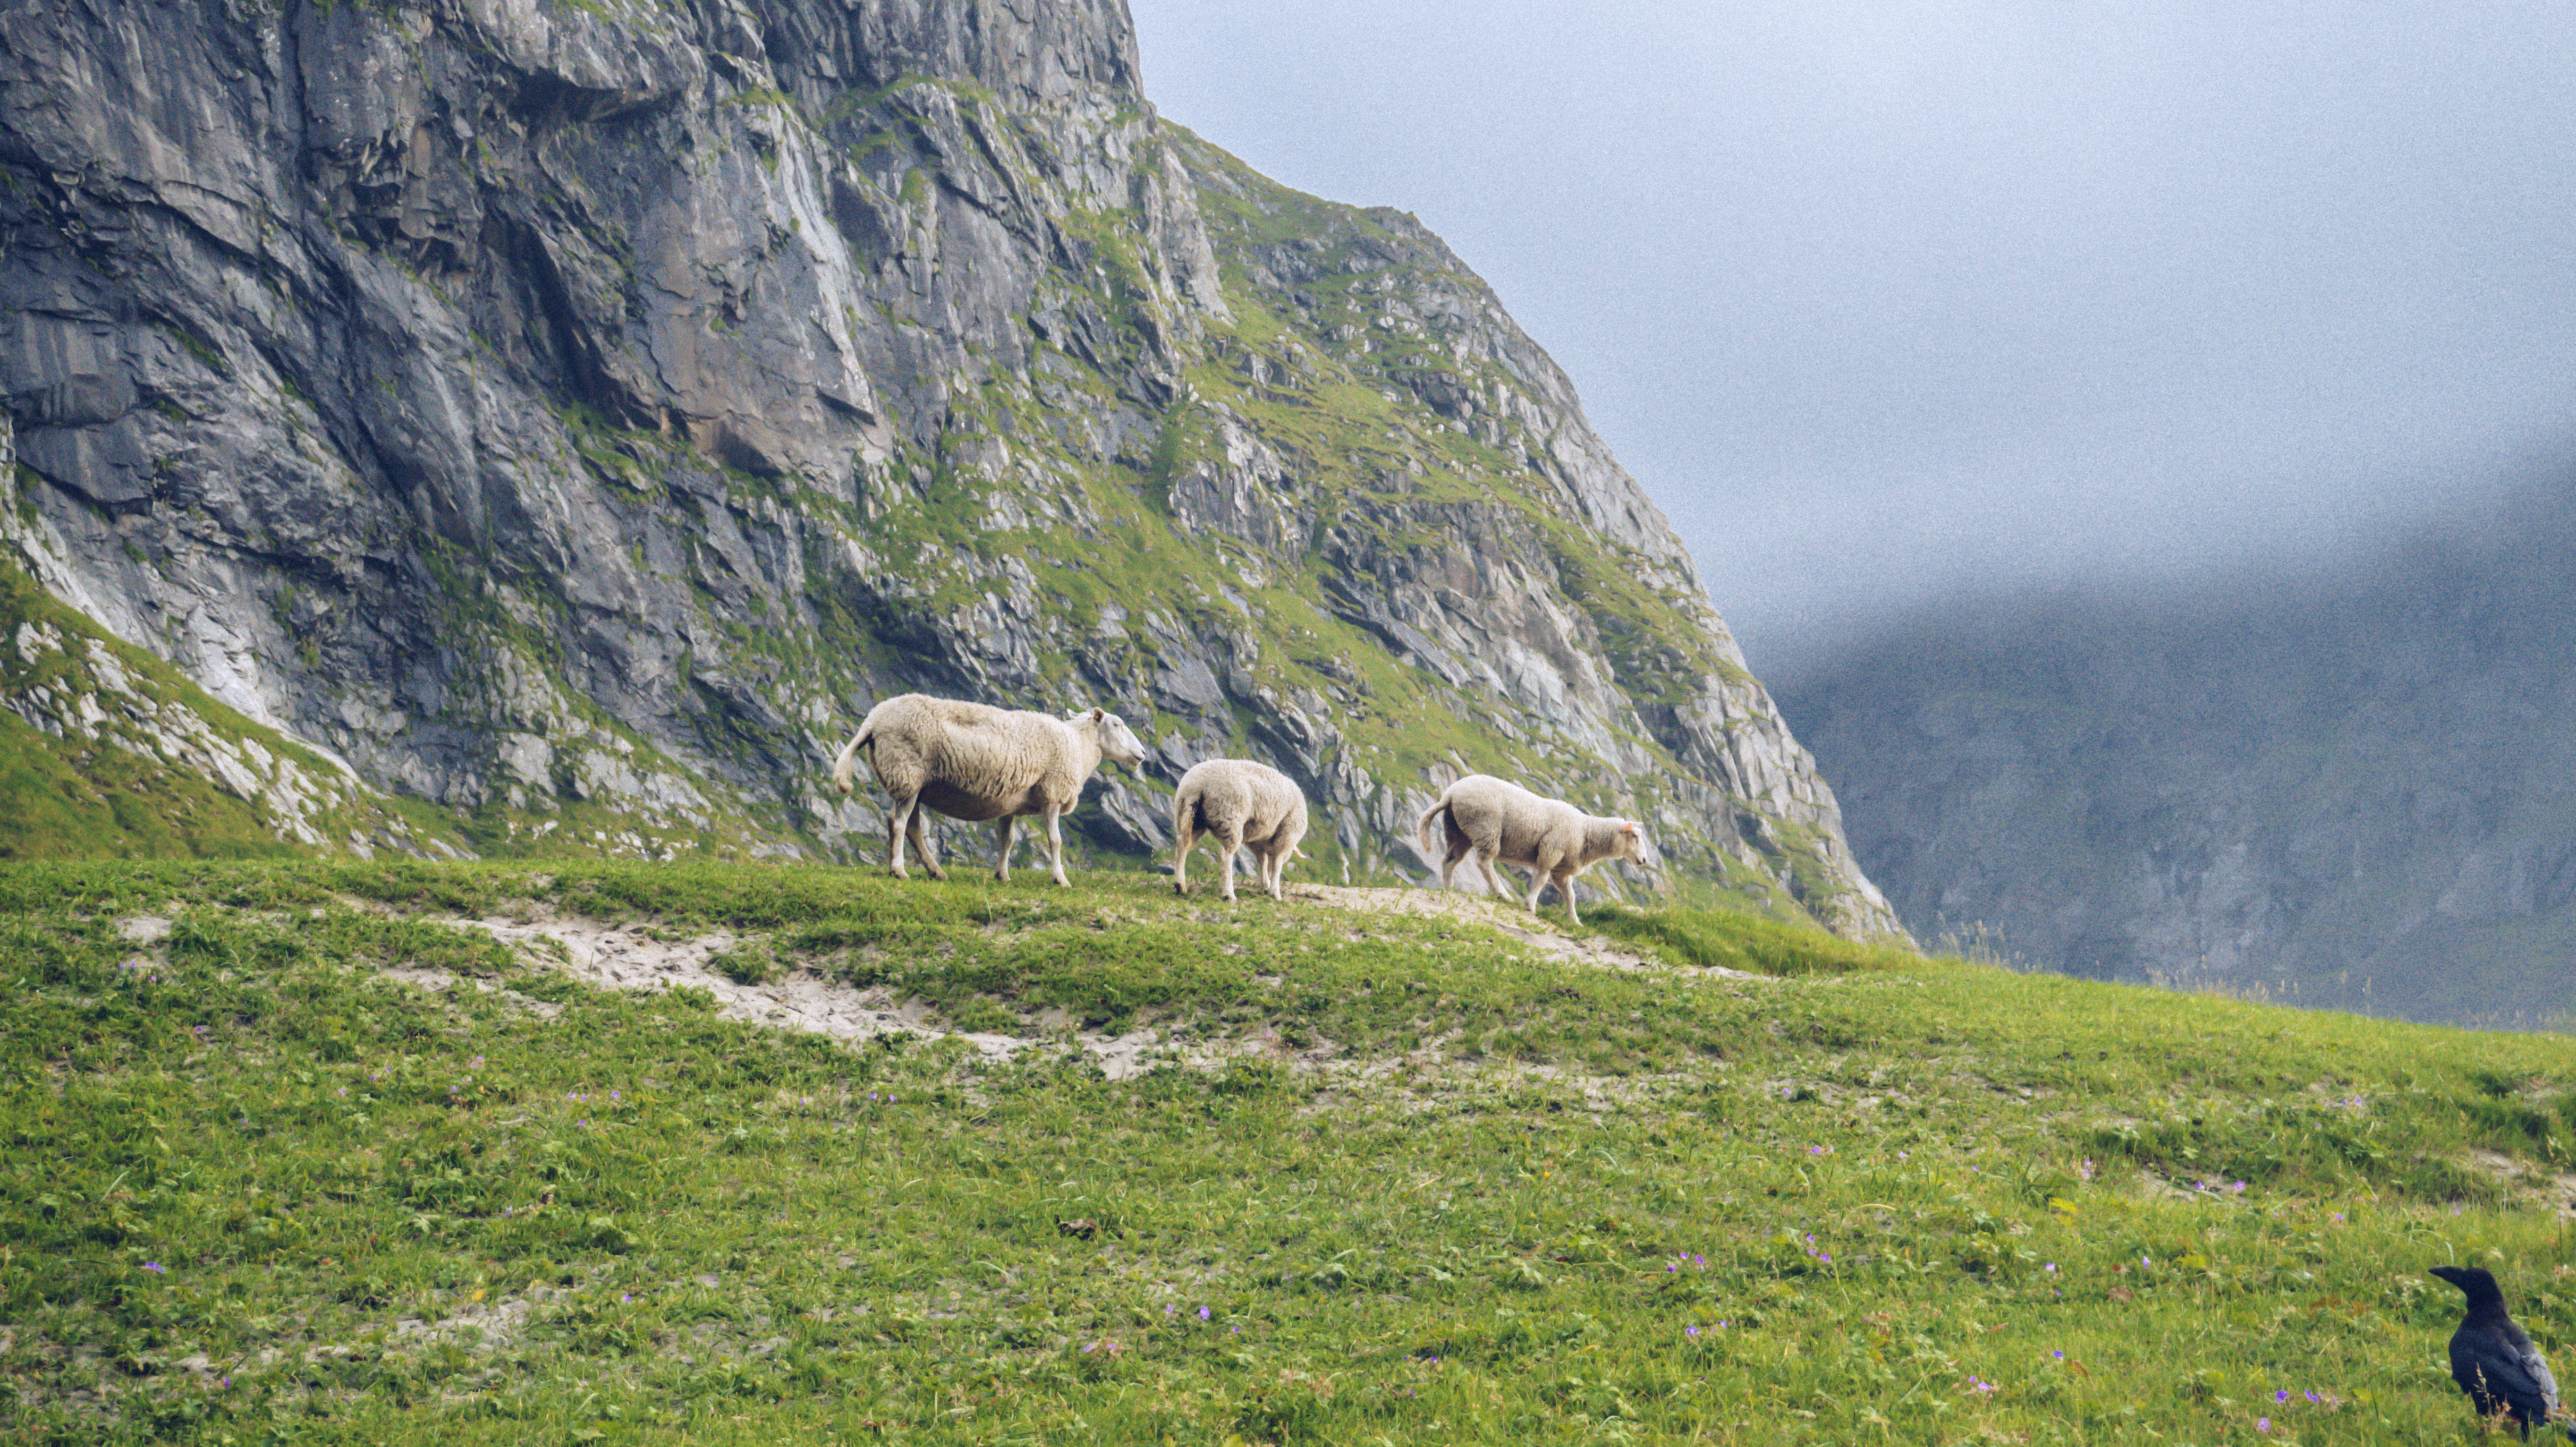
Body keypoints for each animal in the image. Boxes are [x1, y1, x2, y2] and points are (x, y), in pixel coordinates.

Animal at [828, 694, 1147, 887]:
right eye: (1117, 724)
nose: (1143, 754)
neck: (1079, 746)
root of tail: (873, 718)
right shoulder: (1053, 793)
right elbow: (1055, 841)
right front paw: (1060, 879)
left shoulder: (1011, 803)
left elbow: (1008, 841)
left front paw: (1002, 875)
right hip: (907, 770)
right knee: (899, 823)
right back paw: (899, 870)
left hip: (914, 783)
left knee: (912, 828)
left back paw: (935, 871)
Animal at [1171, 758, 1310, 902]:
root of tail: (1199, 783)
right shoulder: (1287, 833)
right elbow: (1277, 863)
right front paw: (1275, 892)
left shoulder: (1257, 840)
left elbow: (1262, 861)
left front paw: (1265, 885)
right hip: (1229, 816)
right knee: (1225, 855)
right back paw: (1229, 894)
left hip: (1189, 813)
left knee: (1182, 845)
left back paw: (1180, 885)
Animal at [1415, 774, 1648, 925]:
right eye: (1635, 836)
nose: (1644, 860)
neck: (1586, 830)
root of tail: (1451, 793)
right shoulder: (1550, 851)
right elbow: (1541, 881)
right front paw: (1530, 906)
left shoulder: (1561, 870)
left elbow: (1570, 895)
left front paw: (1575, 921)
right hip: (1486, 826)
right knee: (1484, 863)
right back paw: (1503, 895)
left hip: (1459, 831)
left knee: (1450, 860)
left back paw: (1449, 889)